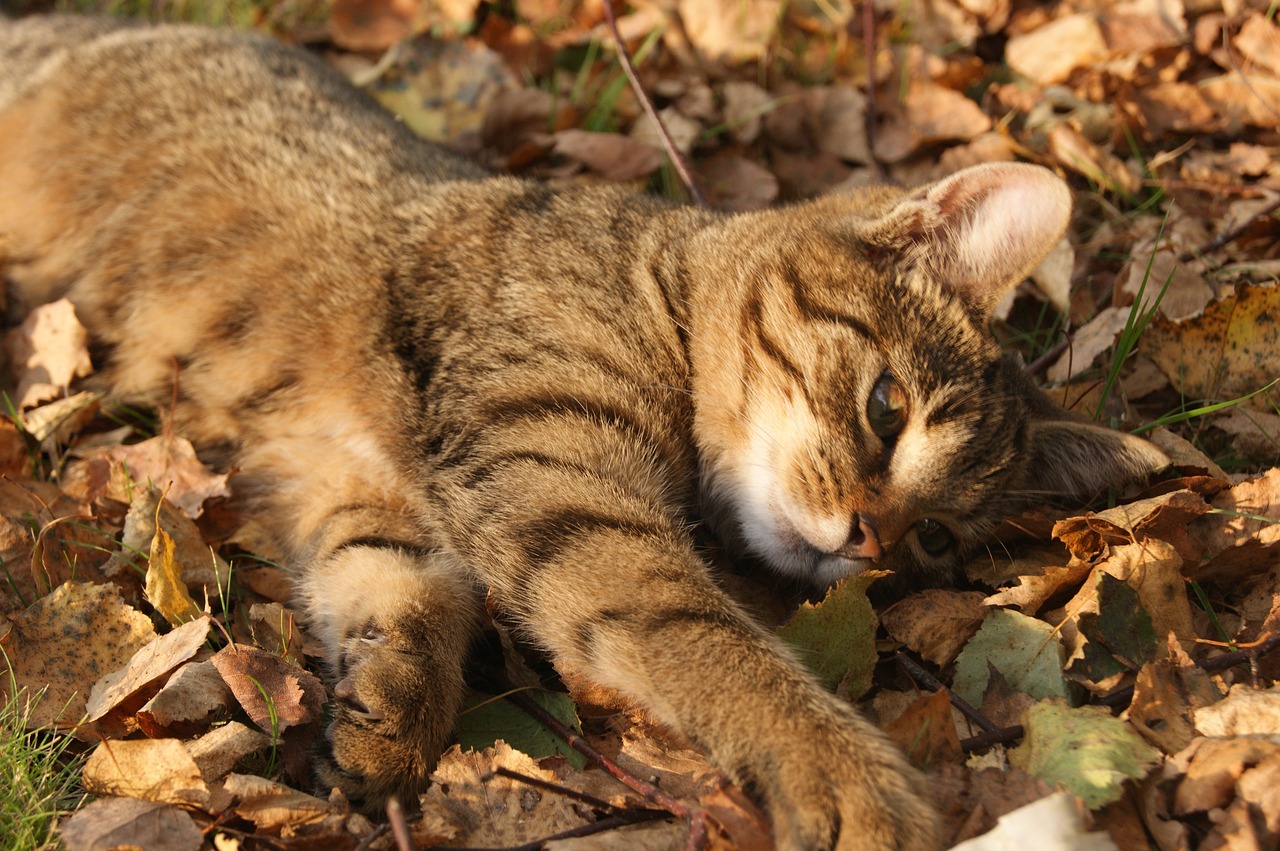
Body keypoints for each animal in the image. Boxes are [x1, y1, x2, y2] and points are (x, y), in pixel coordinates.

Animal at [0, 14, 1167, 849]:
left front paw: (388, 720)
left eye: (935, 539)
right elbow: (704, 639)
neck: (662, 292)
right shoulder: (560, 491)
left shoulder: (370, 489)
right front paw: (846, 770)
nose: (871, 537)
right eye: (885, 409)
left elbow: (400, 600)